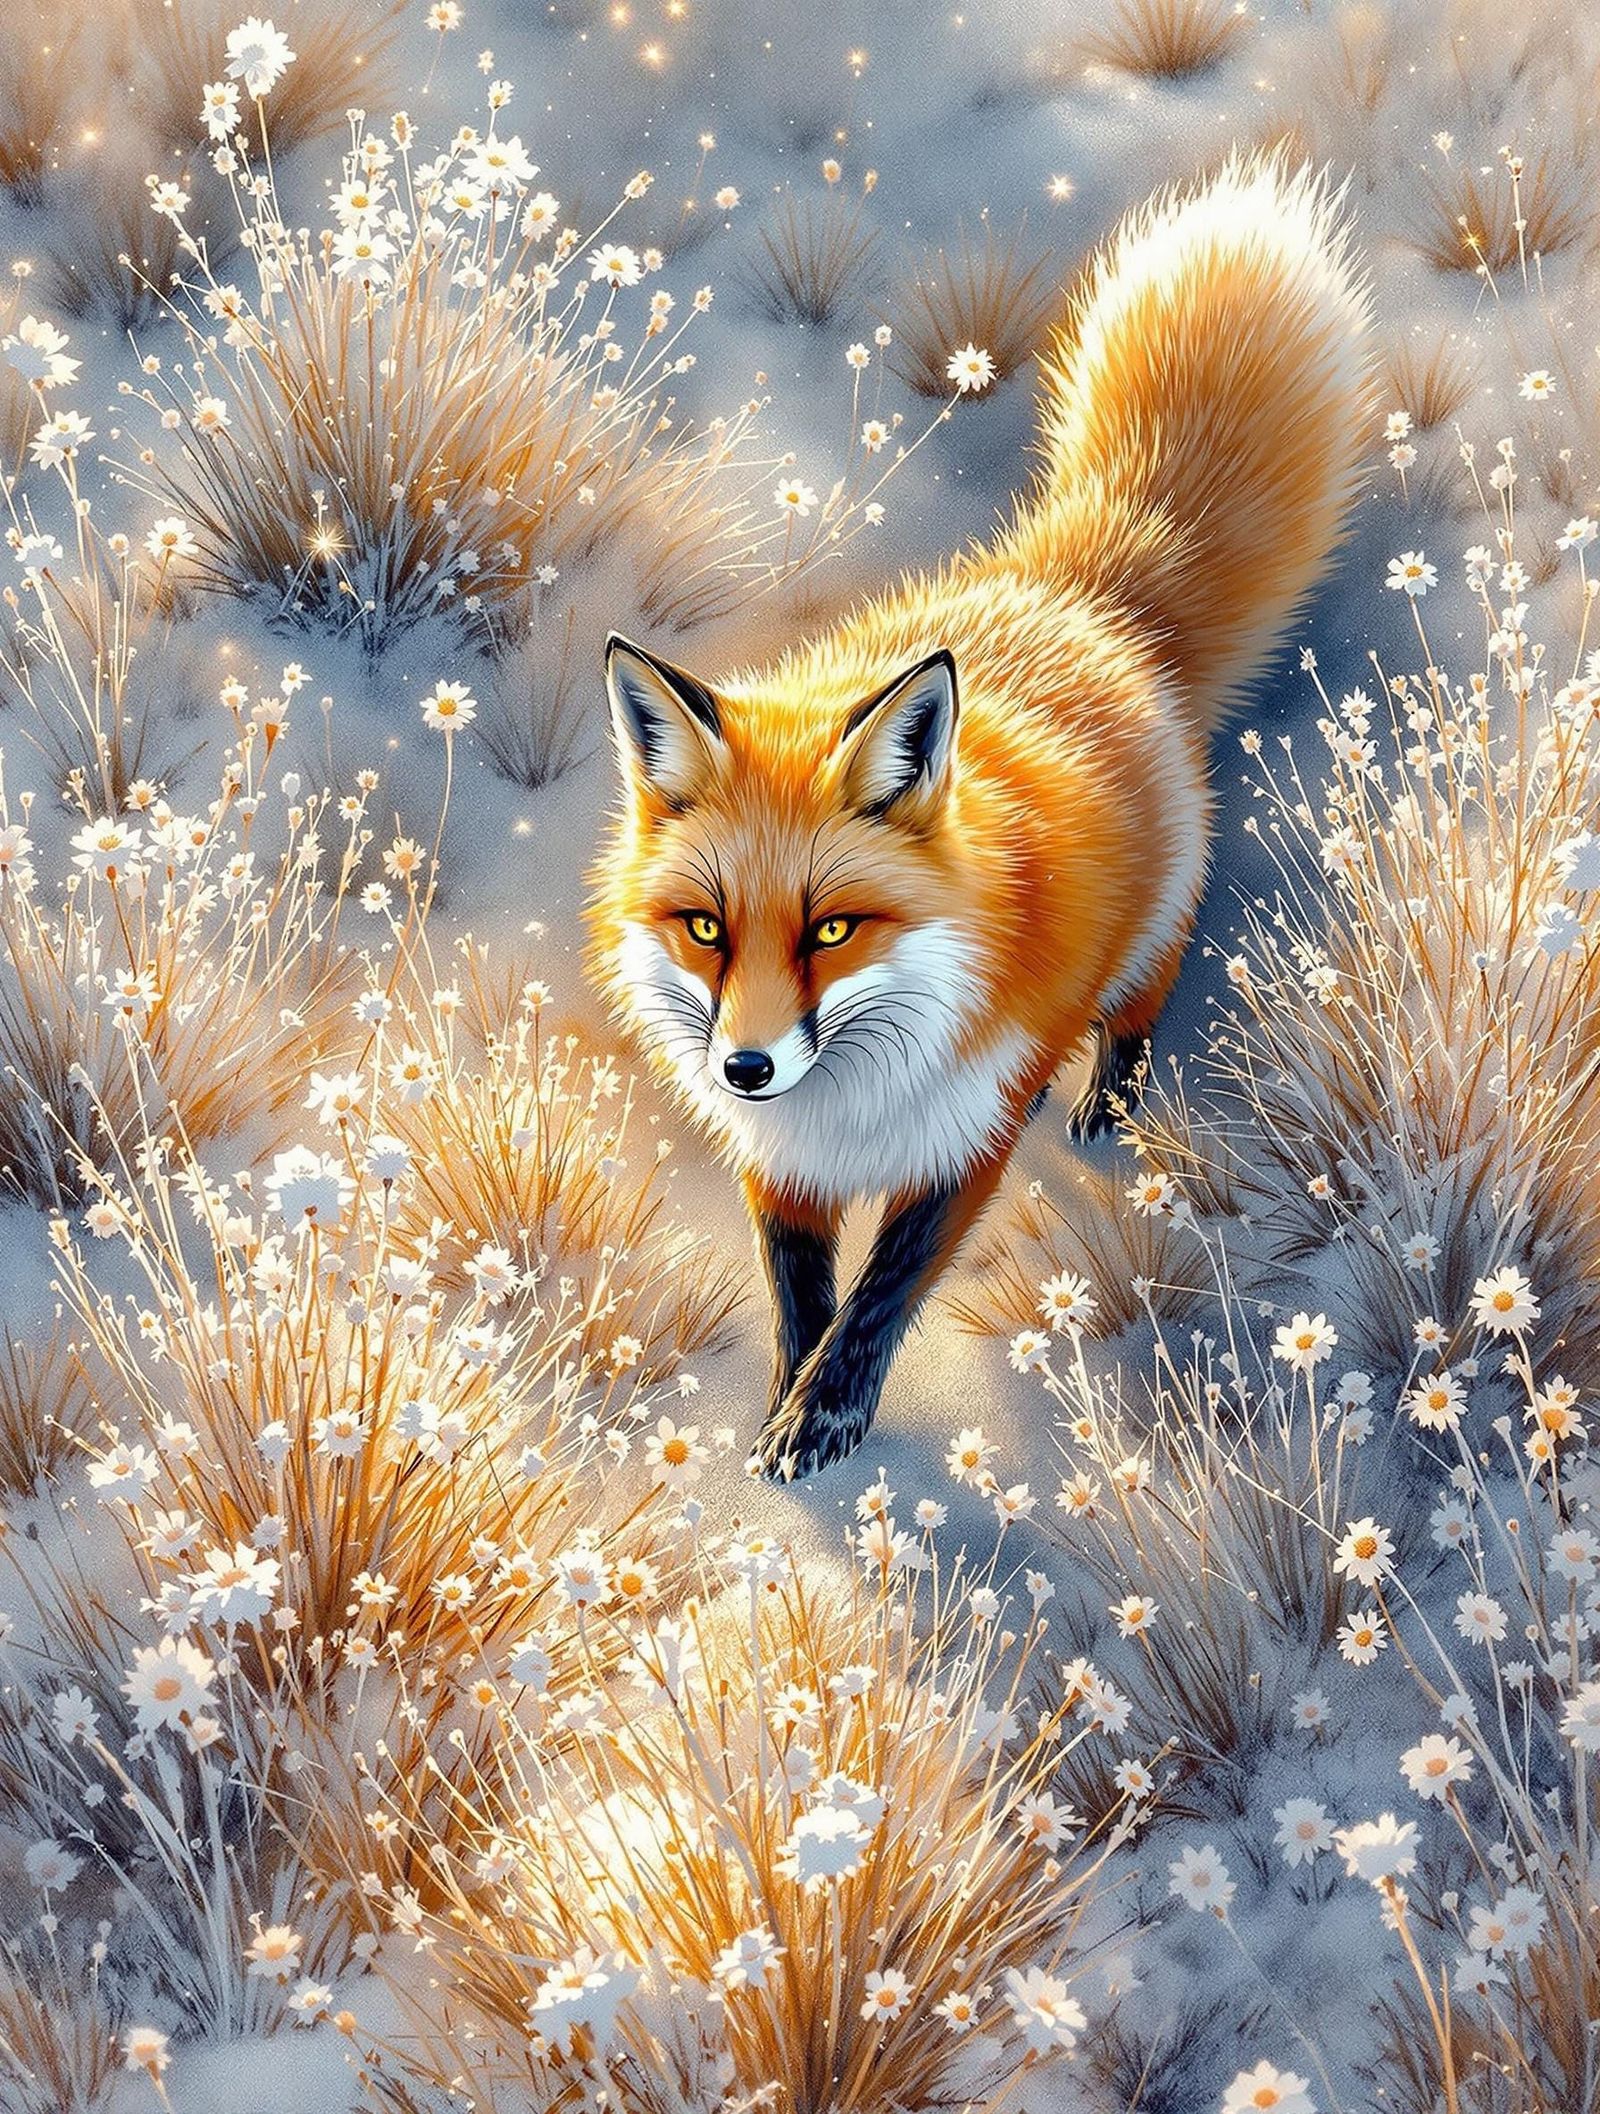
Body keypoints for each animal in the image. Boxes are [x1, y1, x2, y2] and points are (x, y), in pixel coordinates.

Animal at [589, 154, 1372, 1481]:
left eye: (832, 929)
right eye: (704, 928)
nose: (745, 1065)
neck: (848, 1103)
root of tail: (1076, 592)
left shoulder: (967, 1137)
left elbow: (878, 1298)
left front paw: (824, 1421)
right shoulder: (778, 1165)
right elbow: (799, 1295)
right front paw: (785, 1404)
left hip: (1142, 943)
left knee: (1145, 992)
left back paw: (1107, 1098)